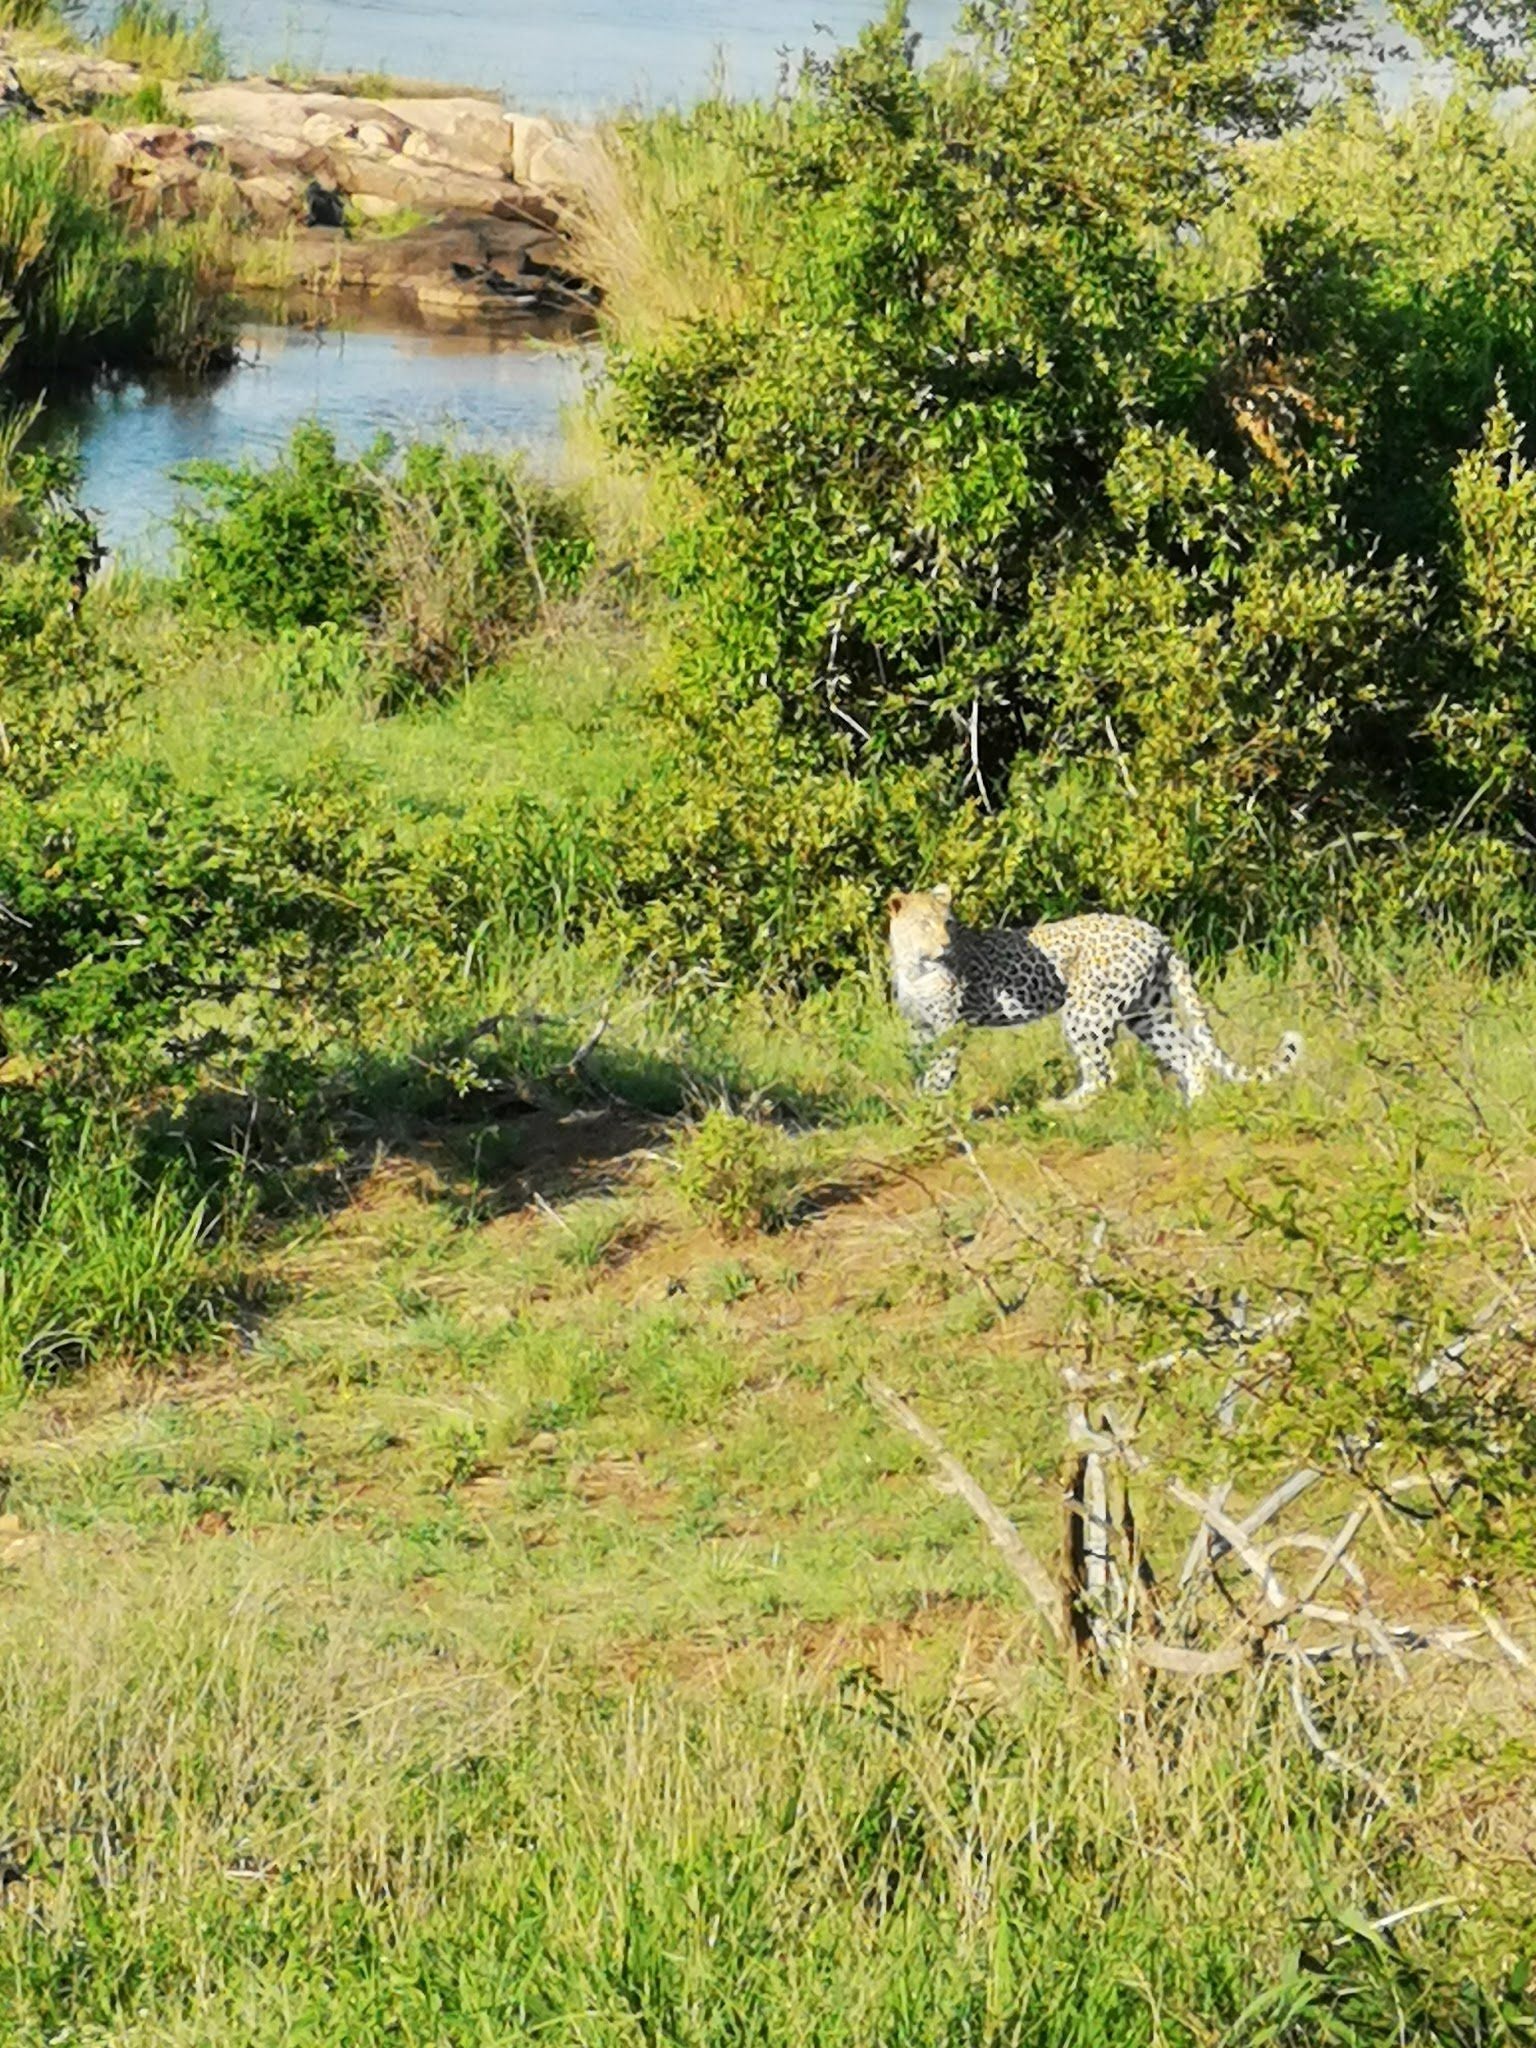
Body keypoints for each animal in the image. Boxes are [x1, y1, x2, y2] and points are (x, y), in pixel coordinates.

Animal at [888, 880, 1302, 1105]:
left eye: (948, 923)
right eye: (924, 924)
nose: (946, 945)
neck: (914, 965)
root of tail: (1156, 932)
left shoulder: (949, 1025)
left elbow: (940, 1066)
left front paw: (931, 1102)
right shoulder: (918, 1027)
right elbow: (920, 1063)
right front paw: (919, 1100)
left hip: (1086, 1009)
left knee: (1103, 1073)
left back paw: (1060, 1107)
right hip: (1147, 1012)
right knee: (1190, 1055)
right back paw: (1192, 1112)